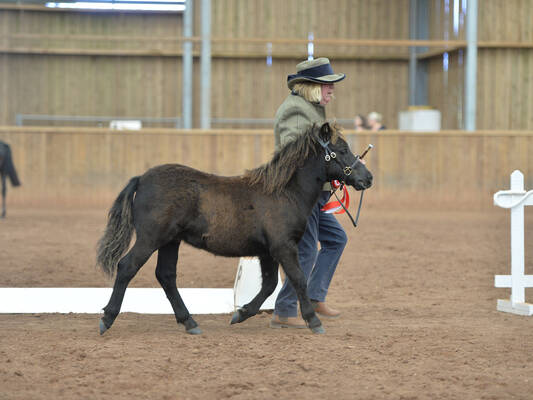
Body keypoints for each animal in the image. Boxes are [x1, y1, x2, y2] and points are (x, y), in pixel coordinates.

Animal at [96, 123, 370, 336]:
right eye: (342, 150)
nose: (368, 178)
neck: (284, 193)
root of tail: (141, 179)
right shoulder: (283, 247)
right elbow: (299, 279)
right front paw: (314, 321)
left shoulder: (267, 252)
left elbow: (269, 285)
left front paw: (241, 314)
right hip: (151, 238)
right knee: (127, 266)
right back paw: (107, 319)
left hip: (170, 241)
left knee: (166, 276)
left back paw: (190, 322)